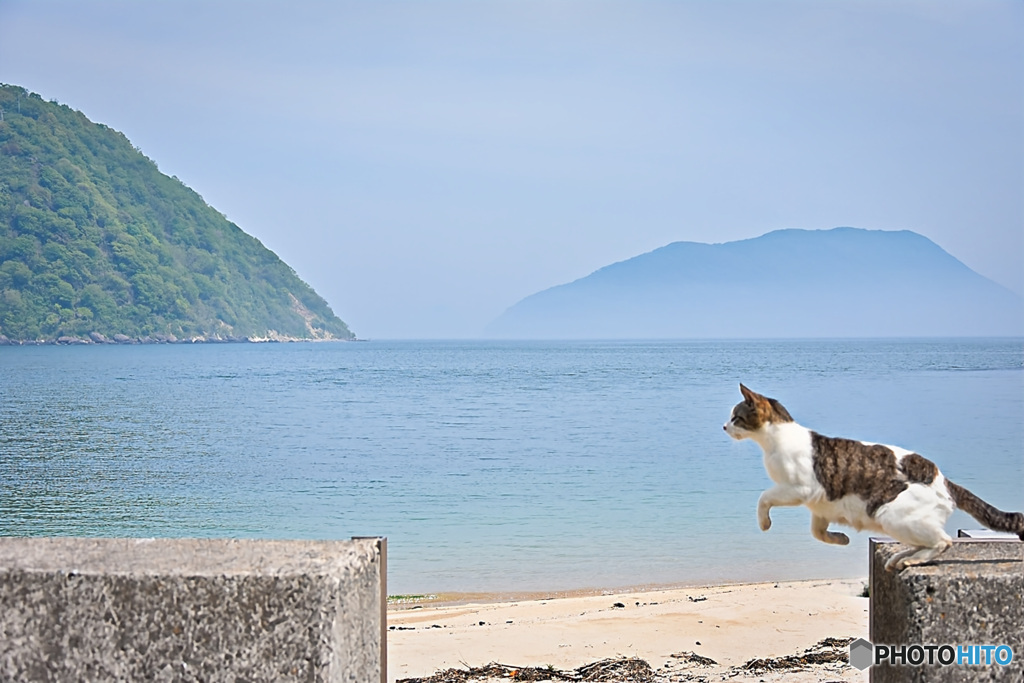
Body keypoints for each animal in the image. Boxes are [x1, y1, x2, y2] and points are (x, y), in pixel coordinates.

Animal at [724, 385, 1019, 573]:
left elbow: (764, 497)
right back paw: (901, 557)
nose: (724, 426)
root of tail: (943, 480)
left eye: (736, 417)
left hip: (892, 515)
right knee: (925, 541)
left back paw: (913, 559)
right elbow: (818, 533)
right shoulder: (821, 506)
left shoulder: (799, 489)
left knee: (943, 541)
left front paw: (764, 523)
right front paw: (839, 538)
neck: (775, 440)